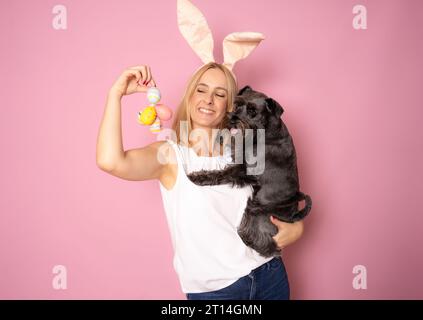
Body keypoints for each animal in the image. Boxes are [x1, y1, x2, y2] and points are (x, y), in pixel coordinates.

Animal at [187, 85, 314, 258]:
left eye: (253, 111)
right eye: (237, 105)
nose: (232, 120)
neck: (266, 133)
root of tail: (293, 217)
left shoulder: (244, 170)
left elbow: (222, 174)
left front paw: (198, 177)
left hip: (257, 212)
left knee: (266, 244)